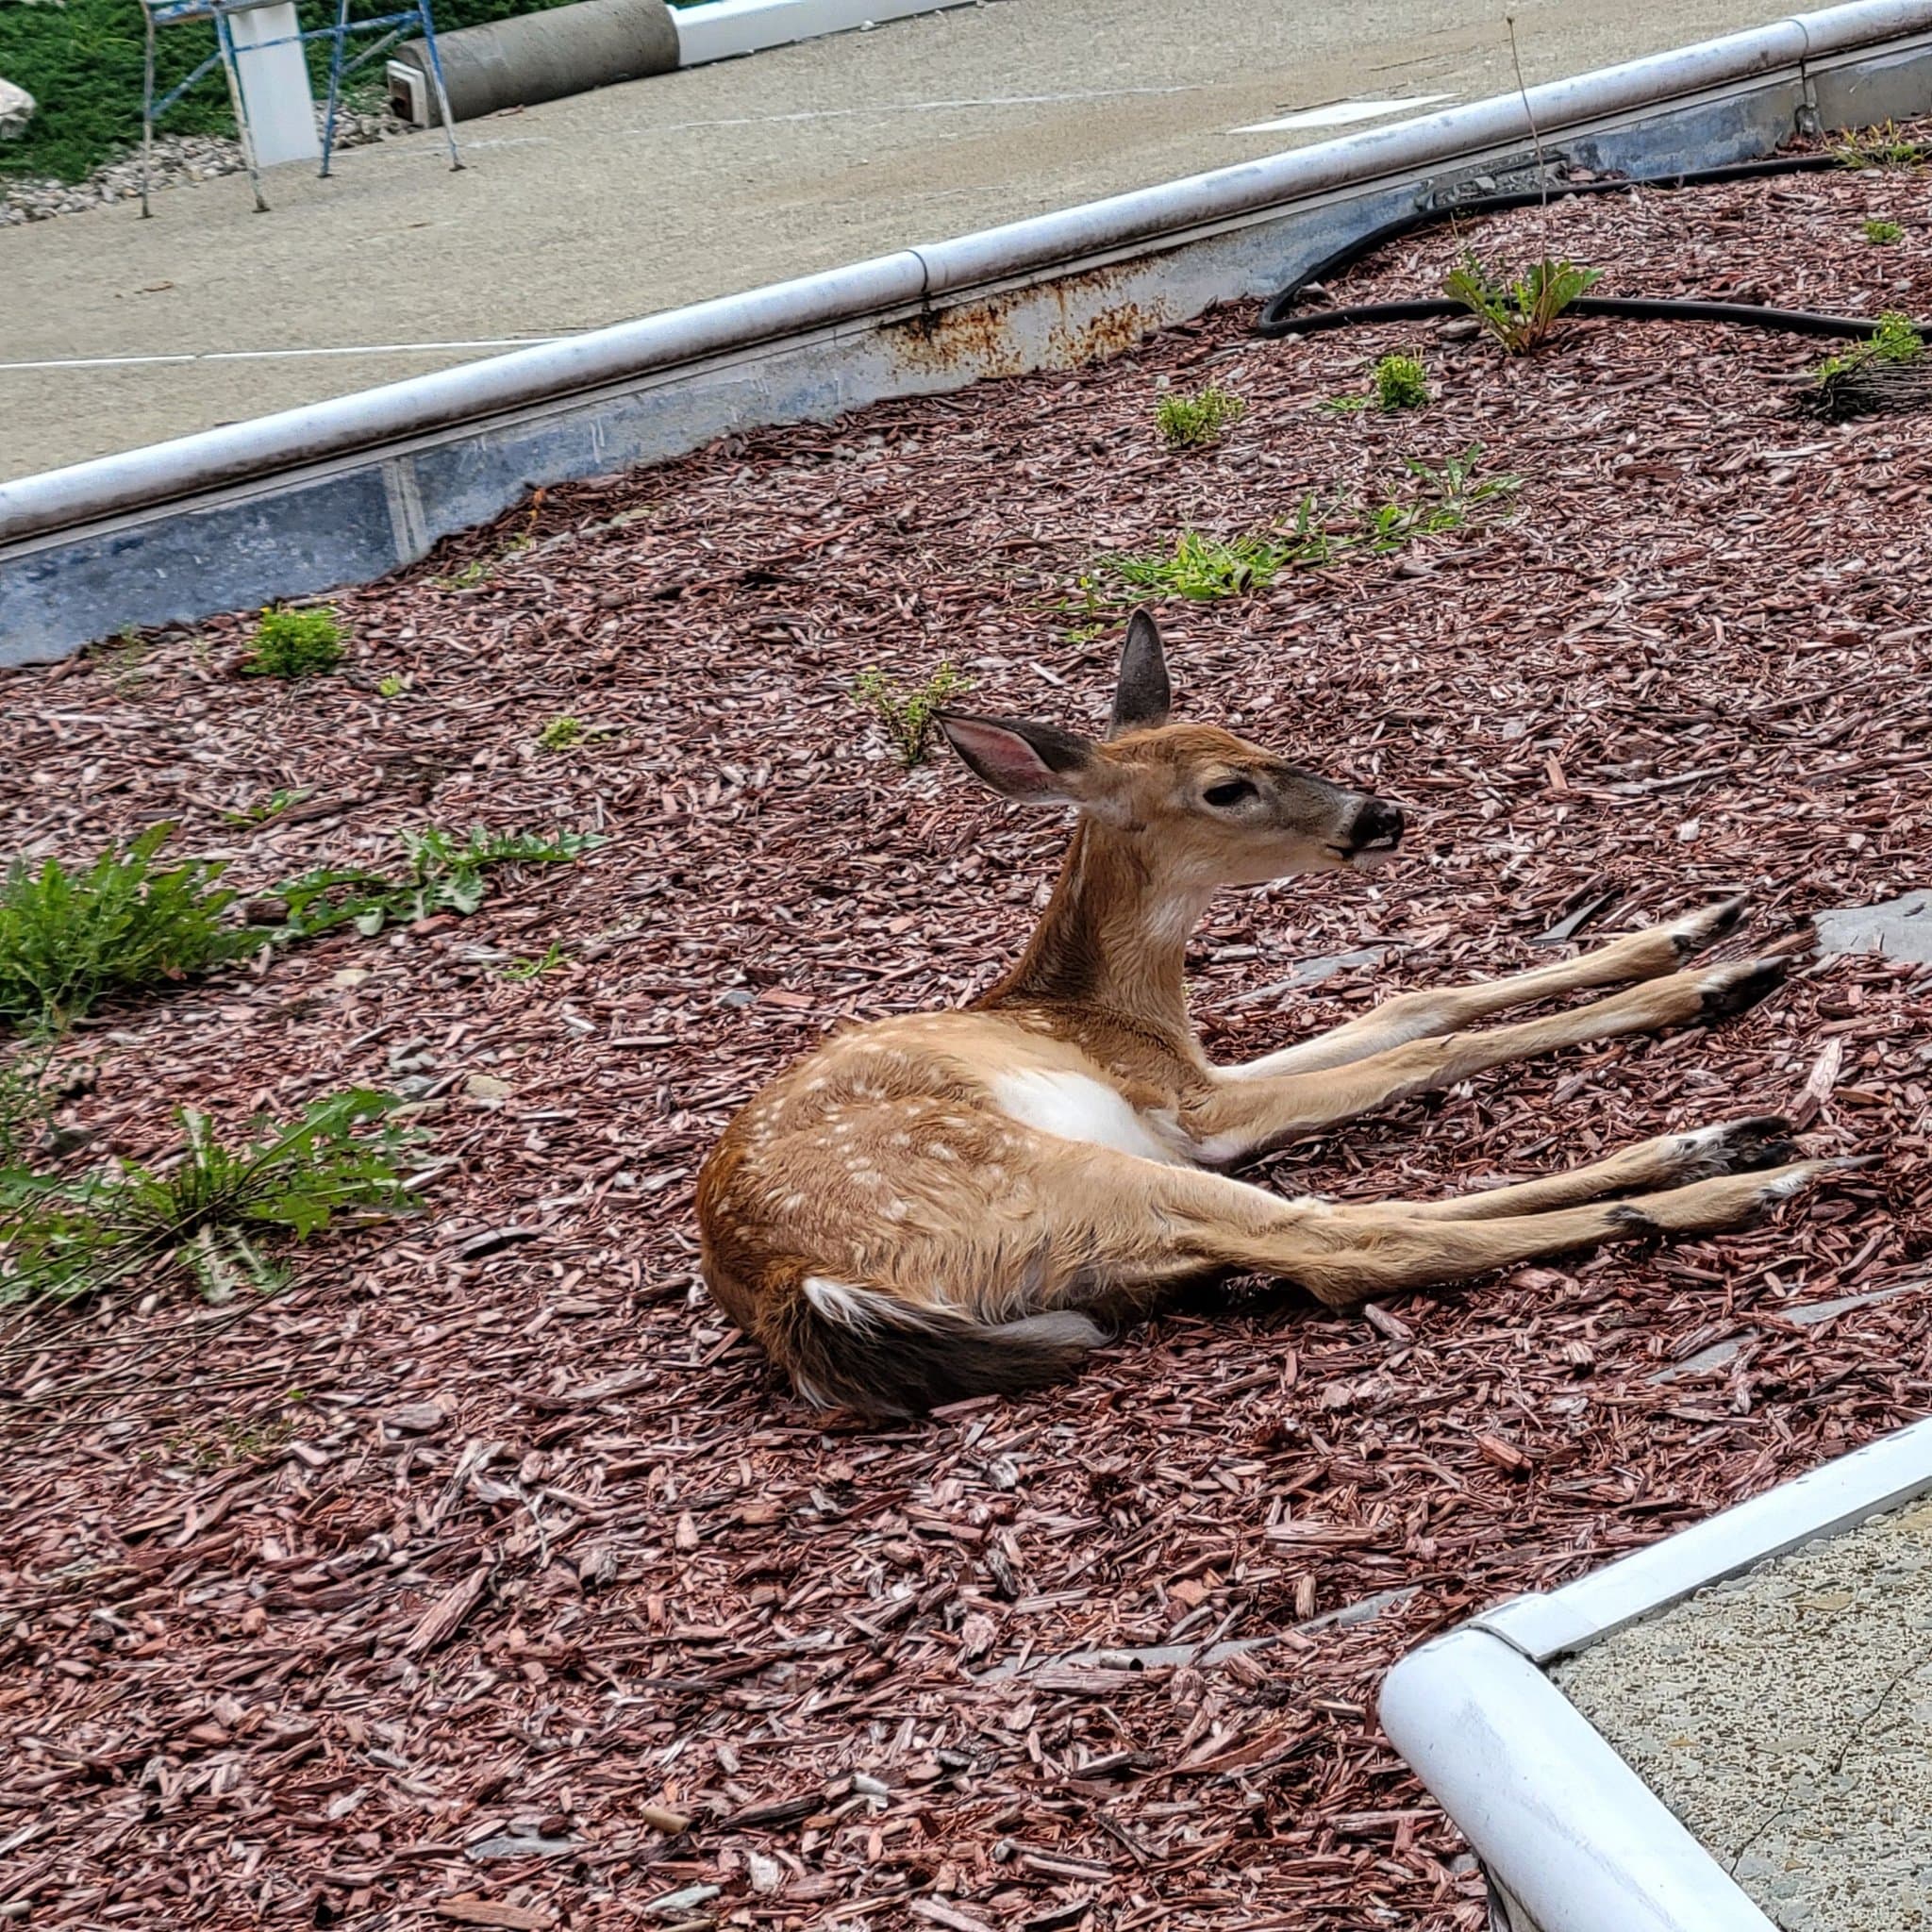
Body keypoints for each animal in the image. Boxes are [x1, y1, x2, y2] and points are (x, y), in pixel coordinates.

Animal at [696, 611, 1868, 1418]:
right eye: (1225, 786)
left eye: (1260, 736)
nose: (1379, 813)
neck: (1102, 1011)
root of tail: (797, 1290)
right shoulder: (1188, 1107)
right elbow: (1432, 1044)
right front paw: (1706, 974)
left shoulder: (1201, 1074)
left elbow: (1416, 995)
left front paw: (1696, 925)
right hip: (1037, 1168)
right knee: (1345, 1239)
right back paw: (1741, 1166)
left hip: (1100, 1238)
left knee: (1306, 1231)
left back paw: (1718, 1142)